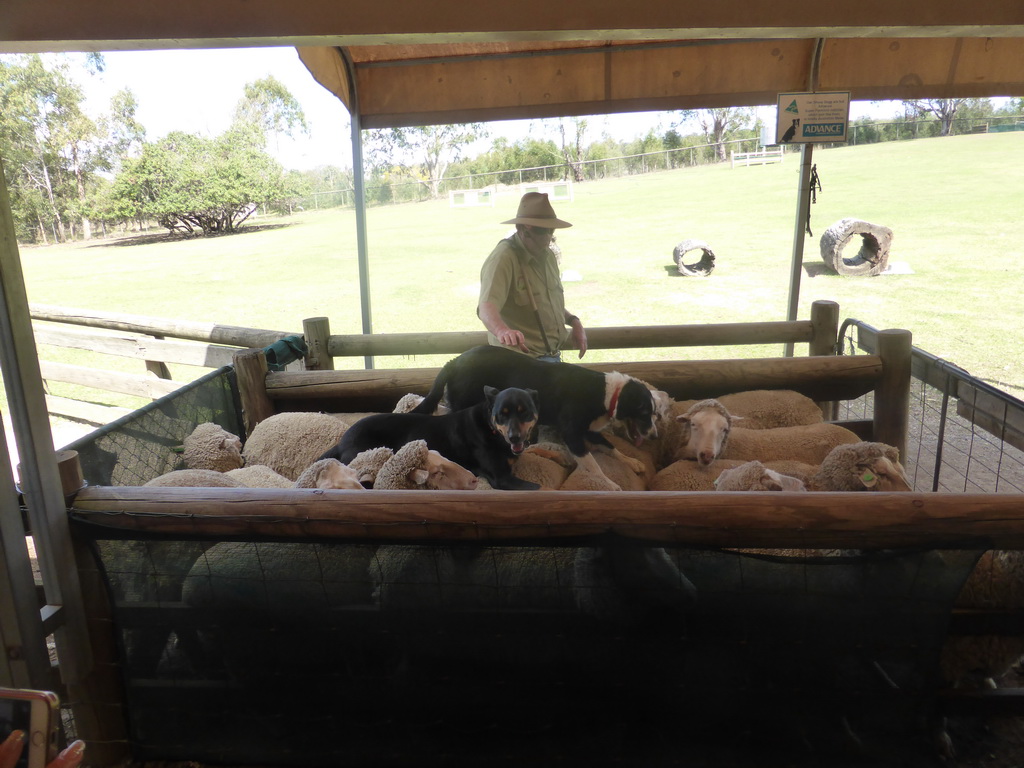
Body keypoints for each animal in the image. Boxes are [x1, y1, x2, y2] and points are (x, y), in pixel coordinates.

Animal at [321, 387, 544, 489]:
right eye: (502, 414)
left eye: (524, 412)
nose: (514, 437)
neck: (491, 428)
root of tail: (342, 441)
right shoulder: (502, 478)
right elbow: (542, 488)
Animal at [409, 348, 655, 487]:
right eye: (644, 412)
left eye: (653, 413)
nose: (654, 436)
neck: (606, 393)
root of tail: (453, 361)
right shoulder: (573, 434)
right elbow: (593, 466)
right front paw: (610, 484)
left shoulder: (589, 431)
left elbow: (611, 447)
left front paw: (631, 461)